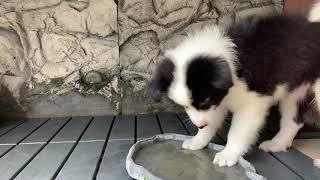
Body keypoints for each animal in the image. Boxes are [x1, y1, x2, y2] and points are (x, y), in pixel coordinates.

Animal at [149, 2, 320, 167]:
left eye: (205, 100)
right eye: (184, 106)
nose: (200, 125)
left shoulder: (251, 105)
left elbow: (237, 132)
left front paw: (228, 154)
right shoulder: (217, 102)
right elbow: (211, 124)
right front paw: (198, 141)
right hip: (294, 92)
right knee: (293, 122)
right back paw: (276, 145)